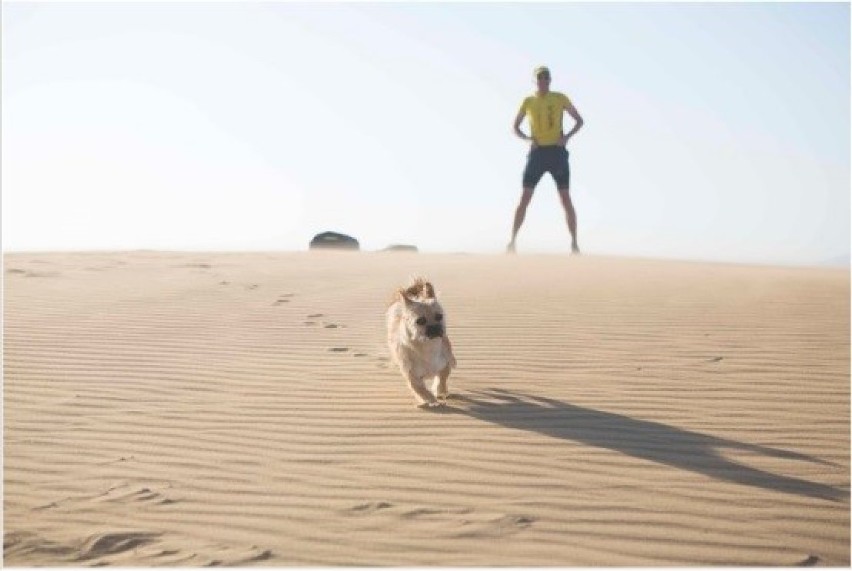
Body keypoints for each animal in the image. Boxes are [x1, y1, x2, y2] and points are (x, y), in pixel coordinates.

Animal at [388, 278, 460, 406]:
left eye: (439, 316)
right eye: (420, 321)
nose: (434, 327)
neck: (427, 345)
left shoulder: (444, 363)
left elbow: (442, 378)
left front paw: (440, 391)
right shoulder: (412, 375)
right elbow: (420, 390)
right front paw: (430, 400)